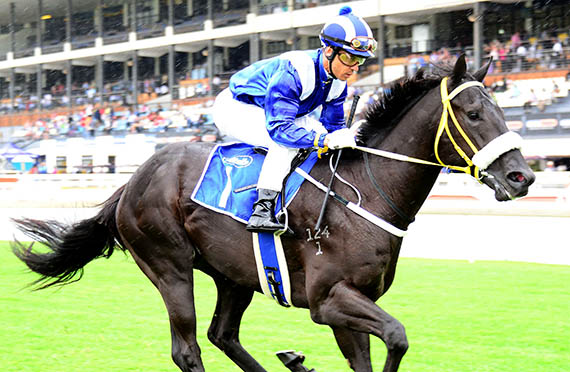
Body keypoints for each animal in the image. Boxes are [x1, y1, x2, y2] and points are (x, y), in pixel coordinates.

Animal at [11, 56, 532, 372]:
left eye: (502, 109)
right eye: (472, 113)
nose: (521, 177)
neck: (366, 194)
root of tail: (132, 181)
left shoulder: (353, 302)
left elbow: (371, 354)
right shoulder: (329, 300)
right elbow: (398, 336)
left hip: (234, 274)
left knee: (222, 335)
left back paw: (291, 361)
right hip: (169, 266)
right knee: (188, 348)